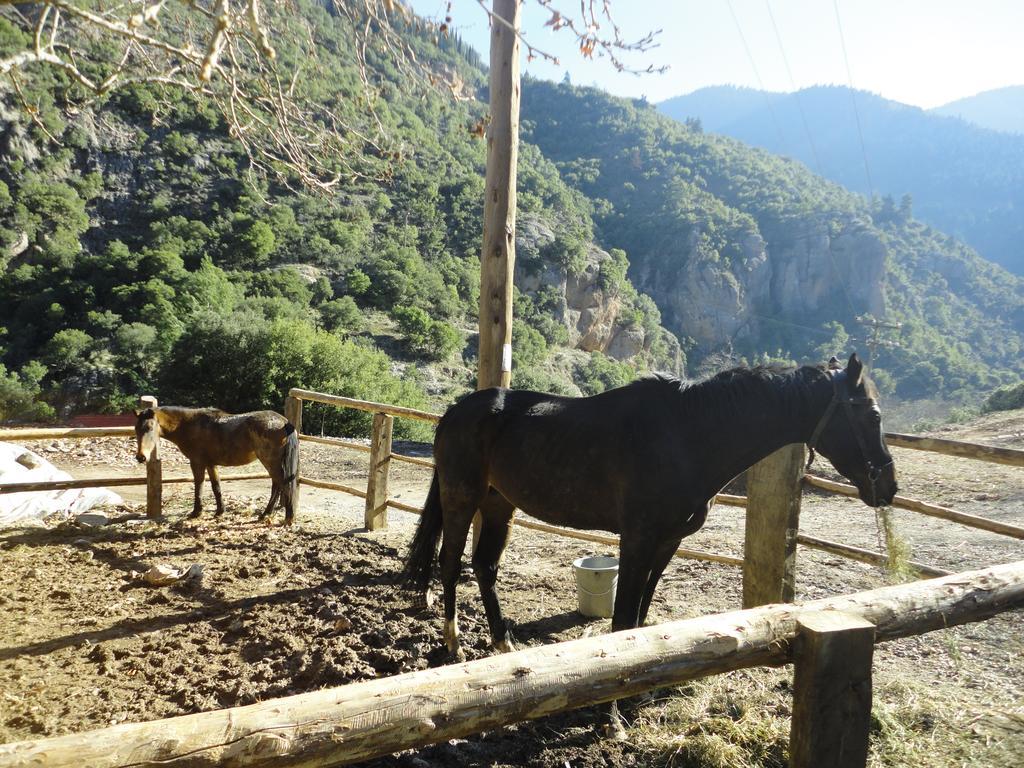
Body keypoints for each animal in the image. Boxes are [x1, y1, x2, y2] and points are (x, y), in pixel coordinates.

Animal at [135, 409, 299, 524]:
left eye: (150, 428)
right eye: (136, 429)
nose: (140, 457)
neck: (190, 426)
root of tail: (284, 422)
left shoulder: (197, 463)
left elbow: (199, 486)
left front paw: (196, 512)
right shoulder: (210, 464)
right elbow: (216, 487)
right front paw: (220, 511)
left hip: (270, 462)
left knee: (283, 485)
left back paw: (287, 518)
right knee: (277, 486)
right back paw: (266, 514)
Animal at [401, 354, 897, 663]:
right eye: (872, 415)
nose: (888, 487)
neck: (688, 434)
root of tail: (455, 412)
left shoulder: (667, 542)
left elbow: (639, 619)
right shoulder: (637, 540)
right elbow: (622, 620)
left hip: (498, 505)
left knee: (484, 566)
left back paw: (502, 643)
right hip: (461, 497)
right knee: (450, 563)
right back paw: (454, 644)